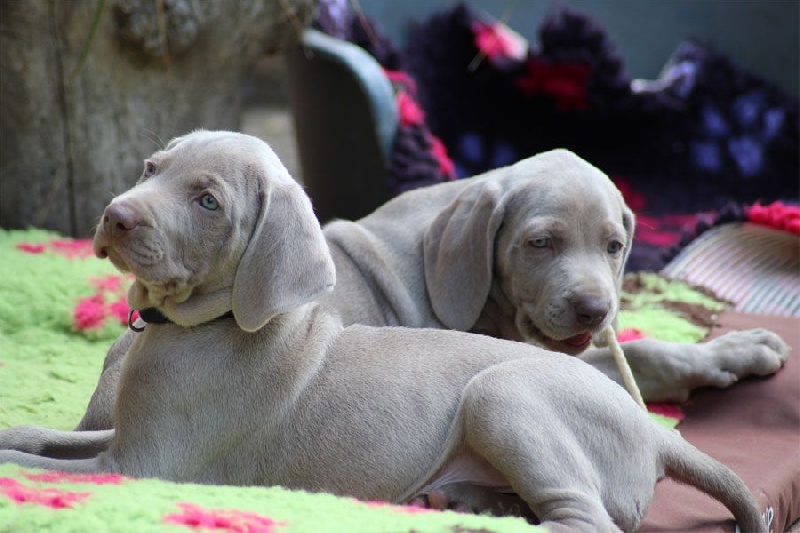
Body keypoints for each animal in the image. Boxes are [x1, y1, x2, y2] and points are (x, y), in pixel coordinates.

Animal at [0, 132, 764, 532]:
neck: (203, 323)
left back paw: (452, 518)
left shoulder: (140, 463)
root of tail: (657, 434)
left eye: (208, 200)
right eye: (152, 168)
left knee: (587, 520)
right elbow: (43, 438)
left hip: (502, 394)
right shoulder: (118, 434)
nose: (116, 215)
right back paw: (458, 498)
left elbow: (35, 463)